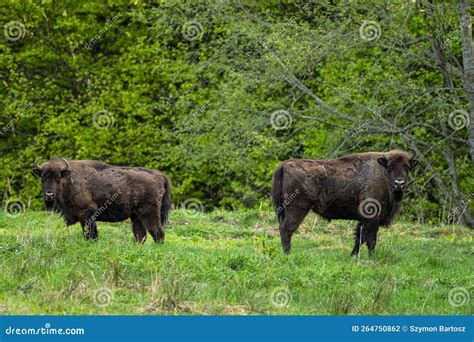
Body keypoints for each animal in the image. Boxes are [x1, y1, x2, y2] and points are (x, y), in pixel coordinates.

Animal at [32, 158, 172, 243]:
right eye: (43, 177)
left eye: (58, 177)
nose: (49, 195)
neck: (69, 180)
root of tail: (158, 174)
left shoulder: (86, 214)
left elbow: (89, 234)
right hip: (136, 216)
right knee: (140, 235)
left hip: (149, 212)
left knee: (157, 232)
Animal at [270, 151, 418, 255]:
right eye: (390, 166)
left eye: (407, 167)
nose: (399, 183)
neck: (382, 173)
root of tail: (285, 165)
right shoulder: (372, 217)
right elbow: (371, 239)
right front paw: (372, 257)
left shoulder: (363, 220)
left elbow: (359, 238)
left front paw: (352, 256)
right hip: (297, 209)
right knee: (286, 229)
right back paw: (288, 254)